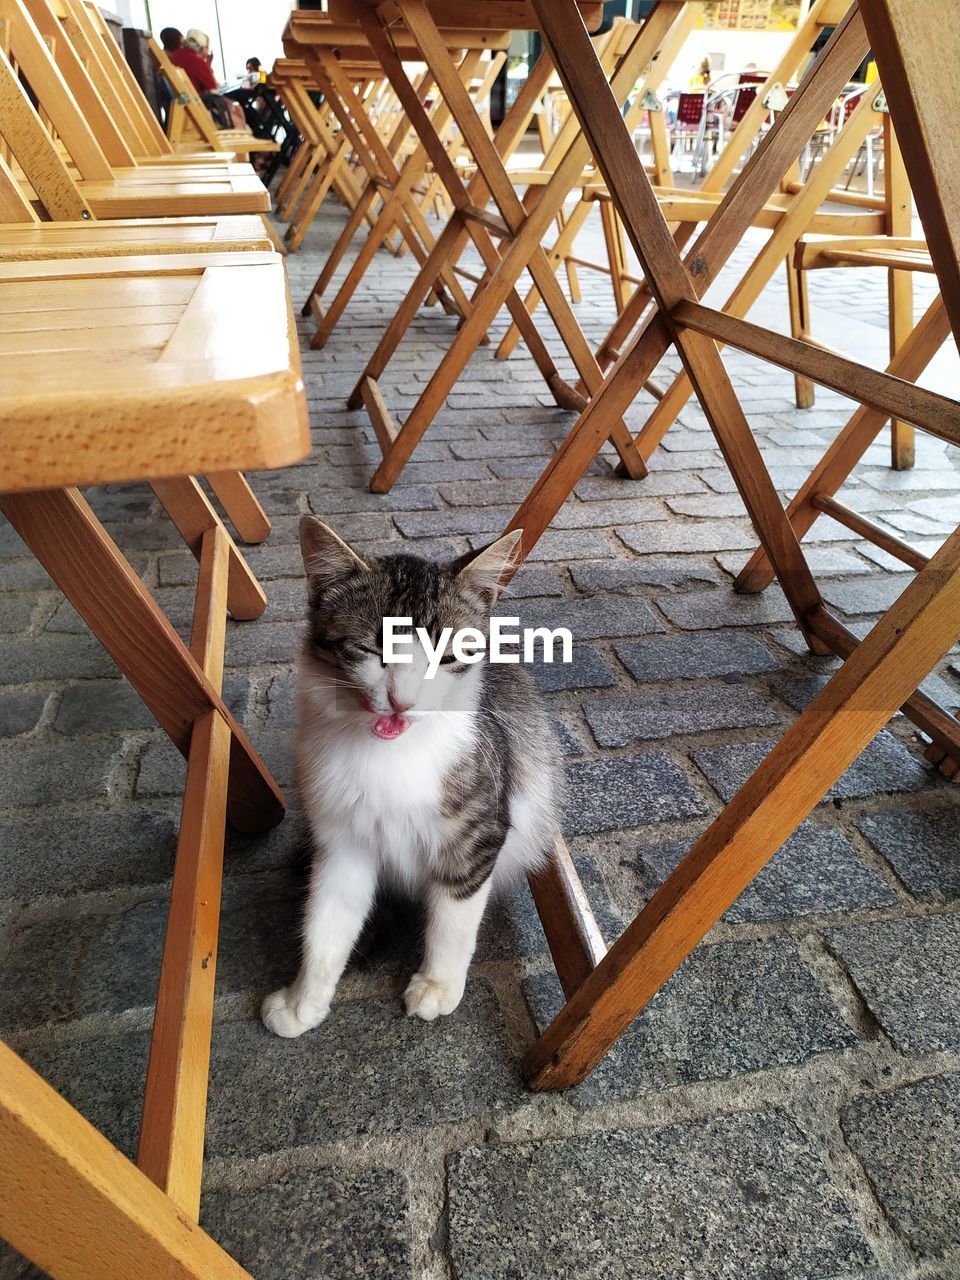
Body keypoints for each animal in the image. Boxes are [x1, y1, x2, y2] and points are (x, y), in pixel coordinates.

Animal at [263, 514, 563, 1034]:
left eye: (447, 656)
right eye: (370, 649)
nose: (401, 701)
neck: (390, 754)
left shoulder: (477, 837)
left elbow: (454, 920)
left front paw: (437, 985)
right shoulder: (342, 842)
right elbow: (325, 926)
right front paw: (302, 1001)